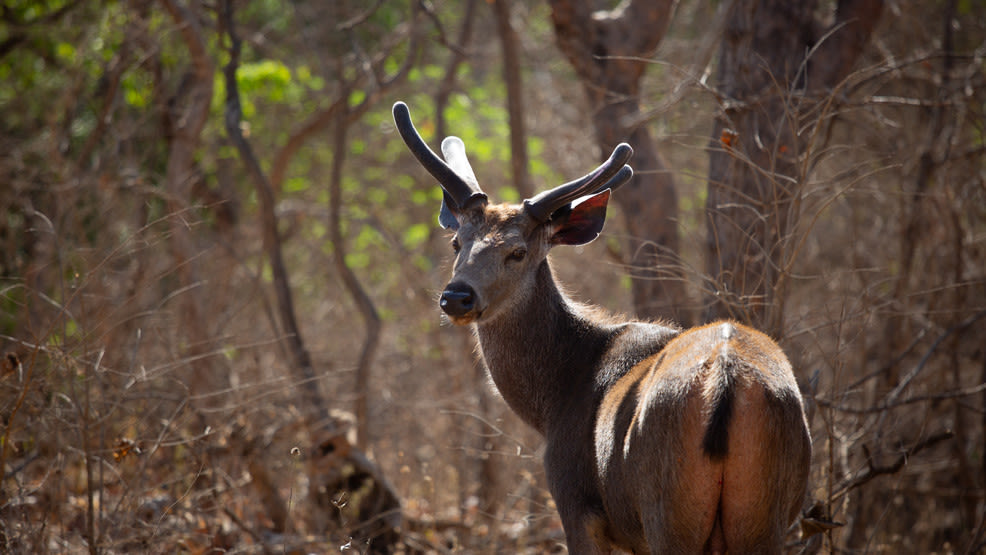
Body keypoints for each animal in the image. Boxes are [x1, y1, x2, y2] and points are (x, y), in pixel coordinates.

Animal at [394, 102, 816, 552]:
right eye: (457, 243)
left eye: (518, 252)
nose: (456, 297)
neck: (553, 402)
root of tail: (726, 380)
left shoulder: (576, 504)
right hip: (762, 514)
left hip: (666, 510)